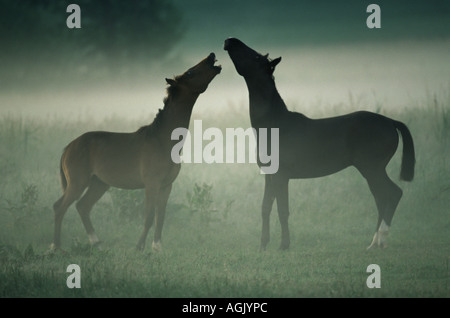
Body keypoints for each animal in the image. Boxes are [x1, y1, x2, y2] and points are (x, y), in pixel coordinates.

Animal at [51, 52, 221, 251]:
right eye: (190, 73)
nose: (211, 56)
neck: (163, 141)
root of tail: (69, 147)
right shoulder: (152, 183)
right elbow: (149, 216)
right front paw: (140, 247)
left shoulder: (166, 186)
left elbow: (160, 217)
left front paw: (157, 248)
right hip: (78, 182)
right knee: (60, 207)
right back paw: (55, 247)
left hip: (99, 183)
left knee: (82, 206)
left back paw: (96, 242)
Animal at [224, 38, 414, 251]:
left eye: (256, 57)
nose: (231, 41)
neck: (275, 124)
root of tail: (390, 122)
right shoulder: (269, 175)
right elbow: (265, 207)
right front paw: (263, 245)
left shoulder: (282, 176)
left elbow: (283, 209)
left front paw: (284, 246)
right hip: (372, 171)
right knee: (381, 197)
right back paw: (374, 243)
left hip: (372, 168)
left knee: (392, 193)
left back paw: (380, 238)